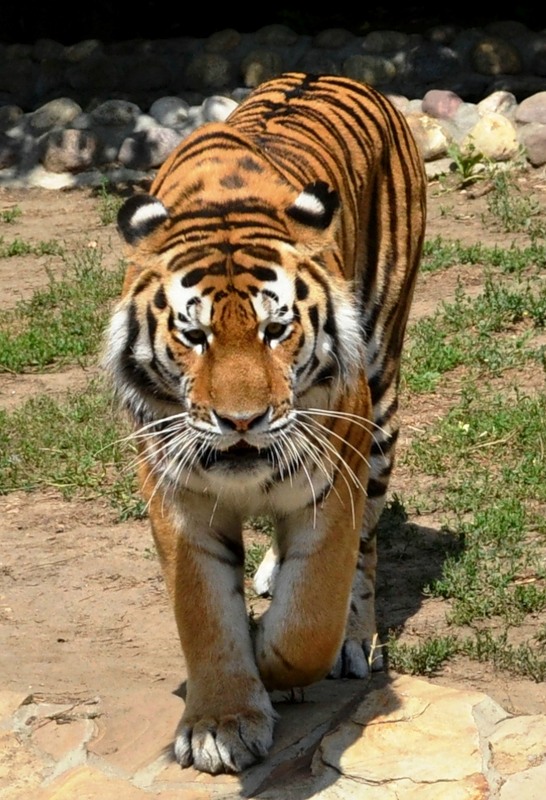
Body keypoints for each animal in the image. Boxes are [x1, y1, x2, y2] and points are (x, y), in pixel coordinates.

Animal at [103, 72, 426, 775]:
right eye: (194, 336)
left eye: (275, 330)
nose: (241, 420)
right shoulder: (175, 490)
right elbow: (203, 612)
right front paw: (221, 724)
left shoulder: (337, 465)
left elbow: (310, 615)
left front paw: (276, 664)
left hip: (382, 398)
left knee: (365, 552)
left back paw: (352, 644)